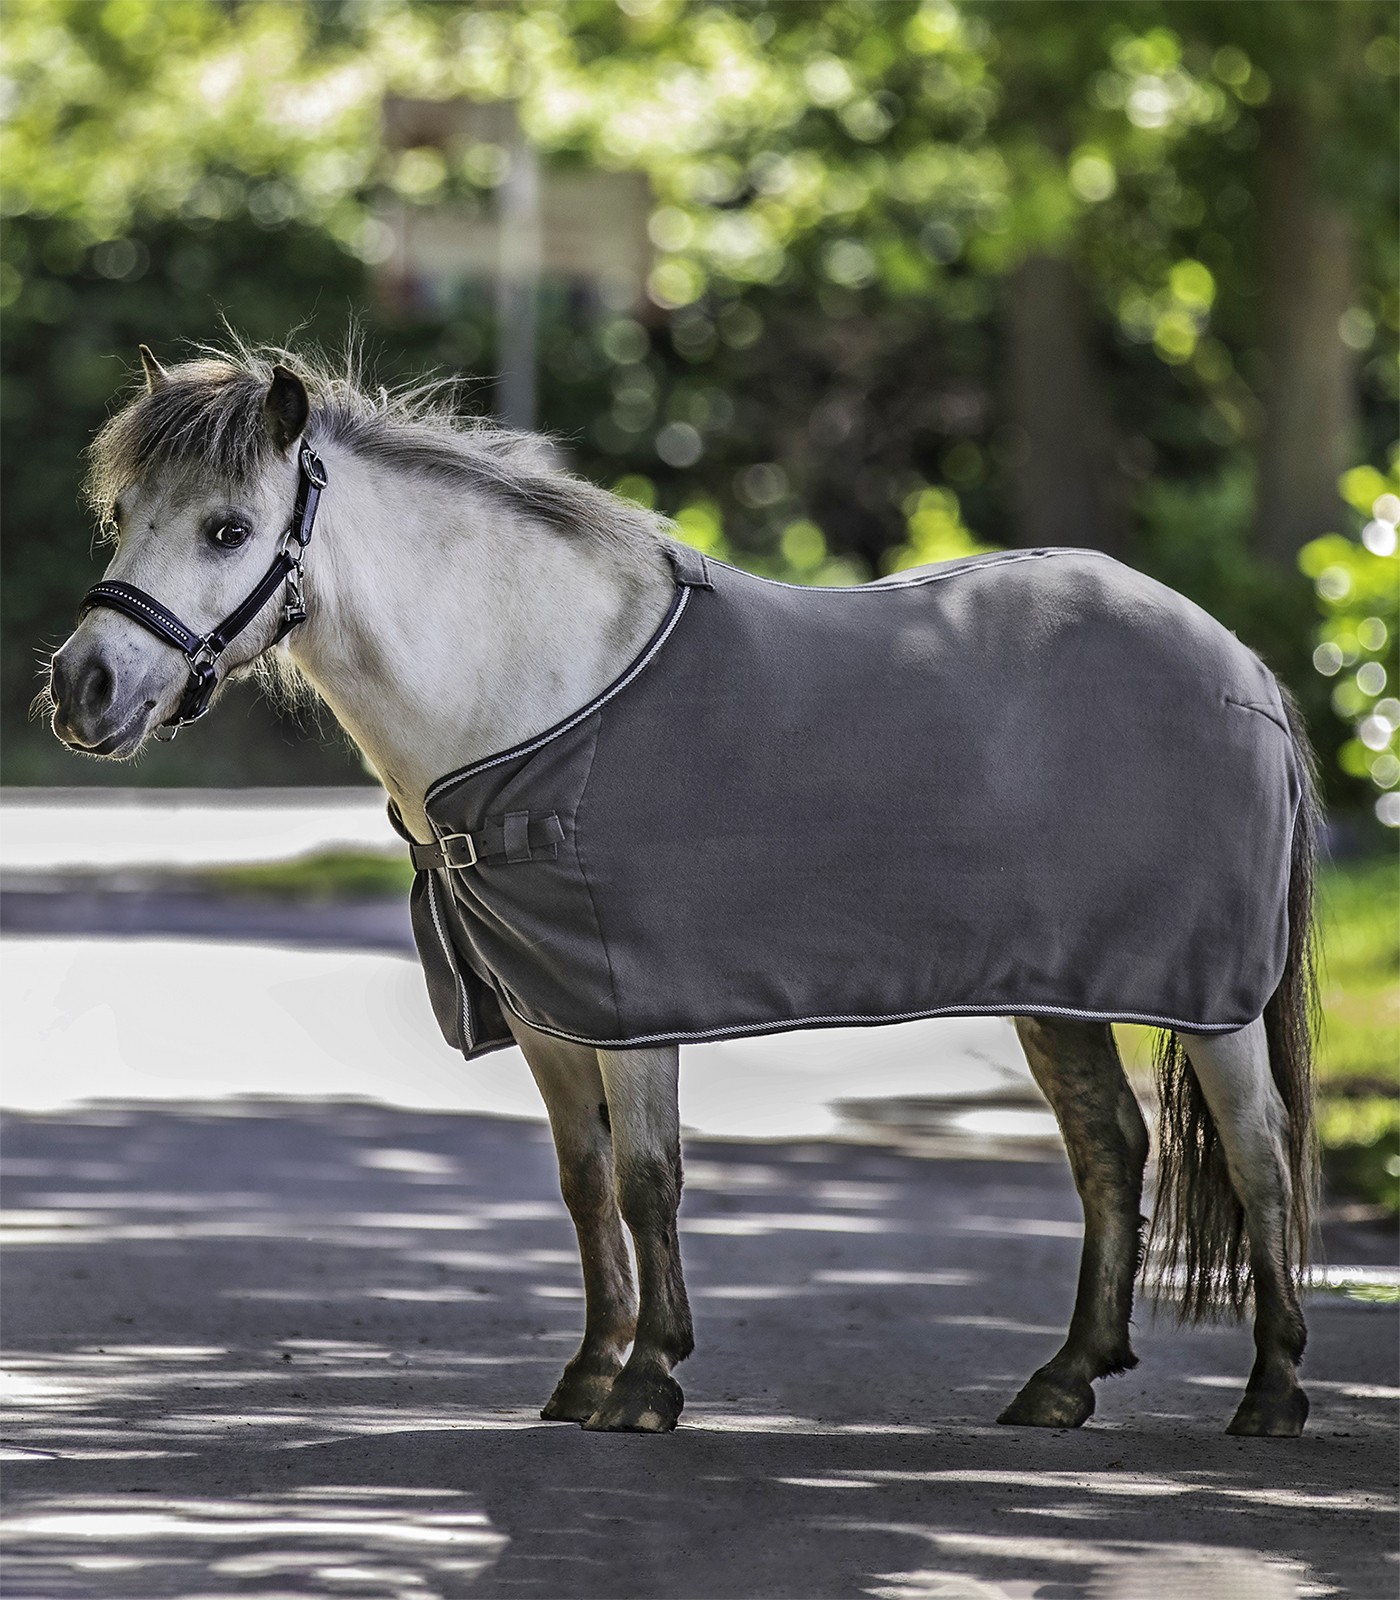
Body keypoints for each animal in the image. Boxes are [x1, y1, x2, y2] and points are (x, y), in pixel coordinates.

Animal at [52, 347, 1324, 1440]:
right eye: (124, 516)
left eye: (227, 528)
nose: (83, 687)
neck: (530, 690)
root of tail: (1239, 665)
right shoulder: (546, 1010)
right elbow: (584, 1183)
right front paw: (588, 1370)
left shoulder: (630, 1000)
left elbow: (648, 1178)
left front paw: (648, 1378)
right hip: (1059, 992)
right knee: (1109, 1146)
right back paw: (1062, 1381)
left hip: (1207, 997)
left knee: (1260, 1151)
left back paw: (1269, 1391)